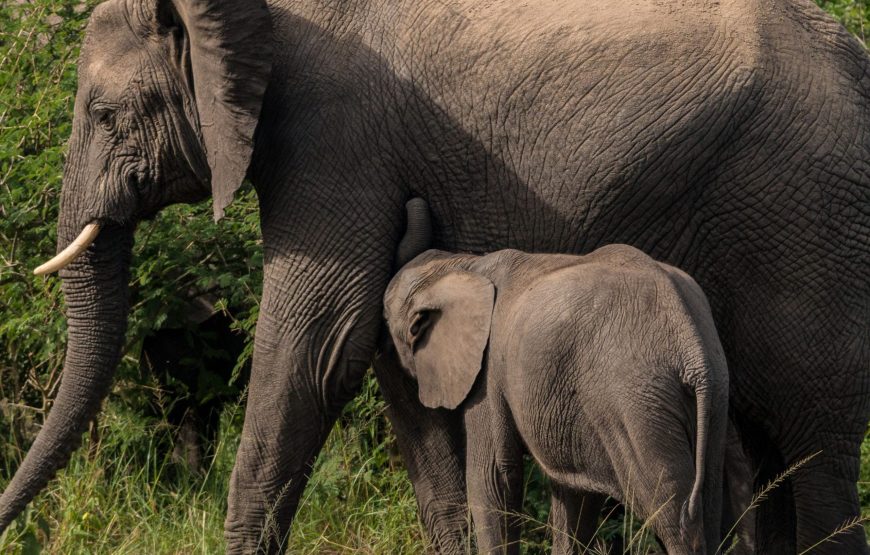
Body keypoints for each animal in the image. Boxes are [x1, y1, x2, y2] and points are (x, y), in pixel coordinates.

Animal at [384, 247, 732, 555]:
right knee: (709, 504)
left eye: (387, 317)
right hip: (714, 398)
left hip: (638, 406)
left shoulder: (488, 372)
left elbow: (493, 476)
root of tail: (691, 348)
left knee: (672, 517)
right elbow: (574, 494)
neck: (458, 265)